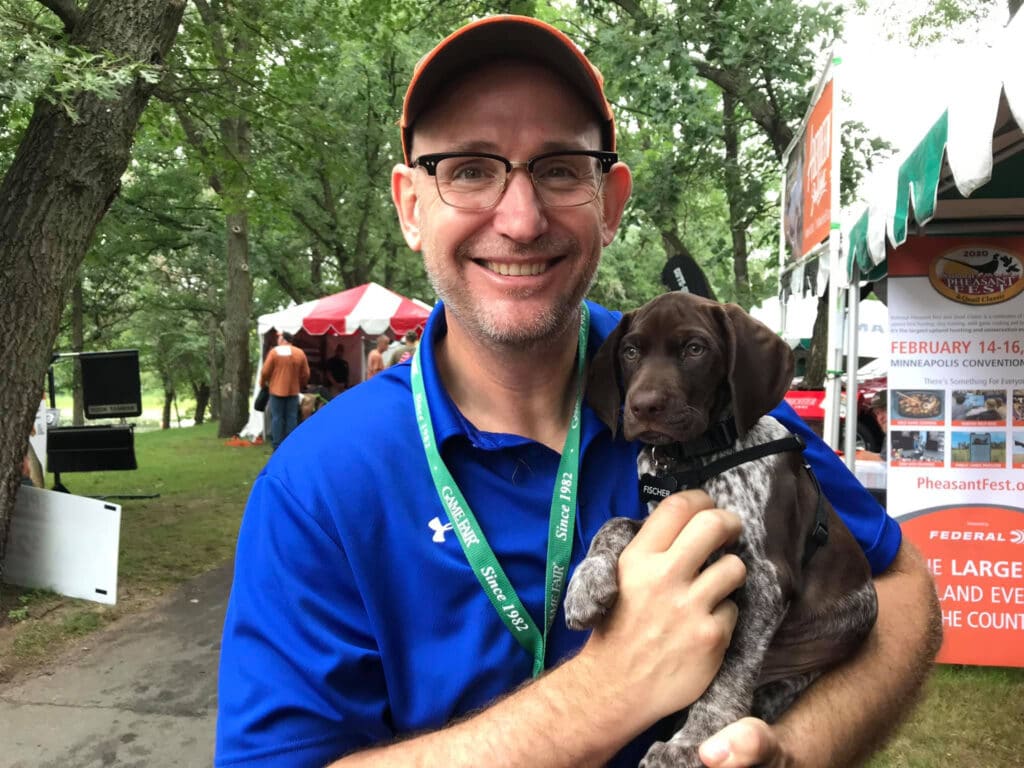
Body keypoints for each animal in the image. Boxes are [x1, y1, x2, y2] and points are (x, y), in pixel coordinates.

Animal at [565, 290, 876, 765]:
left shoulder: (765, 580)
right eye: (630, 351)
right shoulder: (663, 520)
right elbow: (614, 523)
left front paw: (691, 742)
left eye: (696, 349)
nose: (644, 406)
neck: (695, 459)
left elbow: (730, 670)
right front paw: (586, 583)